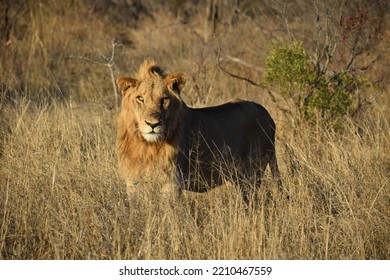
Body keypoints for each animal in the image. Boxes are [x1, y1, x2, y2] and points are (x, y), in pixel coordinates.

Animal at [115, 58, 280, 203]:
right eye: (140, 99)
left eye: (164, 99)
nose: (153, 124)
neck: (147, 146)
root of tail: (267, 114)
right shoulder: (133, 181)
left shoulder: (172, 182)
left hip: (251, 174)